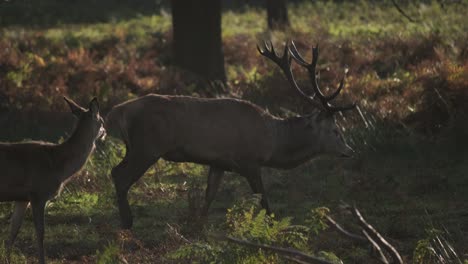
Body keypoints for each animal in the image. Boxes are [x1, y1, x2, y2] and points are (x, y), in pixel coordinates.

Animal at [0, 97, 105, 264]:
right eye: (102, 120)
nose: (105, 132)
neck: (58, 165)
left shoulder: (23, 198)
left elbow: (13, 230)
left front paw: (7, 259)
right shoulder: (38, 193)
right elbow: (40, 232)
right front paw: (42, 260)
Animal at [106, 41, 354, 229]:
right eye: (335, 130)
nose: (349, 151)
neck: (272, 143)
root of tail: (119, 110)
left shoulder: (218, 163)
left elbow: (209, 196)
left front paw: (199, 225)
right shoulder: (249, 161)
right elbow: (263, 199)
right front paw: (273, 227)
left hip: (134, 147)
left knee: (115, 171)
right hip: (147, 147)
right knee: (120, 176)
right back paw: (127, 222)